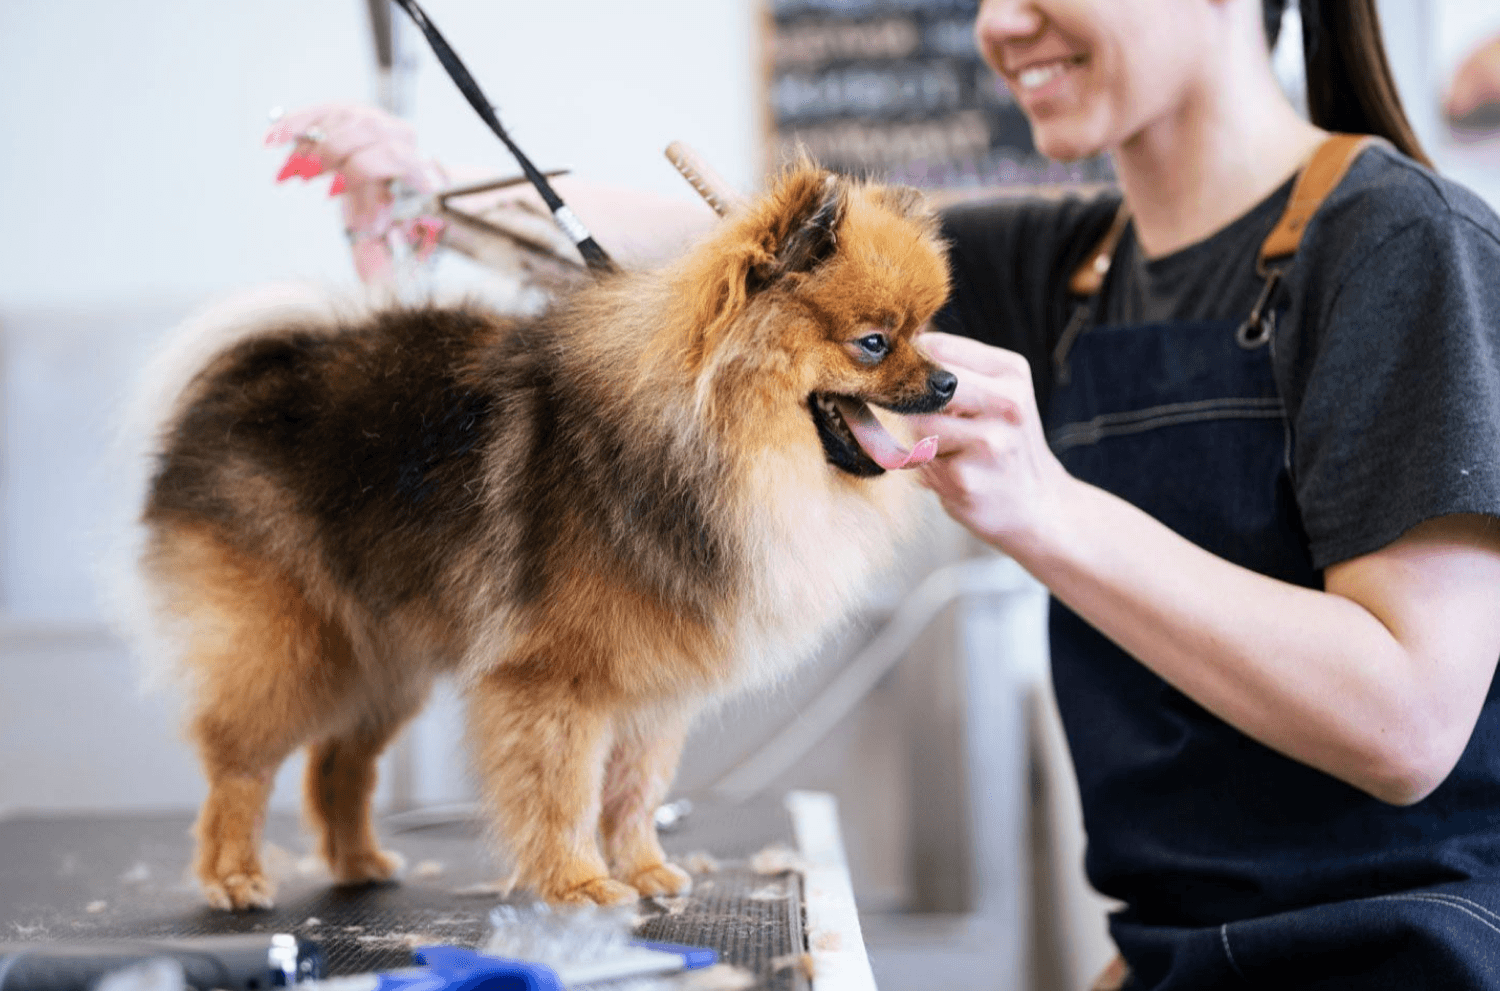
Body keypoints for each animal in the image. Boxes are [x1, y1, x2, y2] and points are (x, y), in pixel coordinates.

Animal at [132, 160, 948, 905]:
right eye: (875, 342)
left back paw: (358, 862)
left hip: (384, 656)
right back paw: (233, 873)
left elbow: (635, 789)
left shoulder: (652, 687)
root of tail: (257, 369)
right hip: (289, 646)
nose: (948, 382)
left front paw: (644, 869)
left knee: (338, 760)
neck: (712, 443)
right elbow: (562, 789)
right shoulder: (555, 677)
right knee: (239, 760)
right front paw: (578, 881)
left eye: (924, 332)